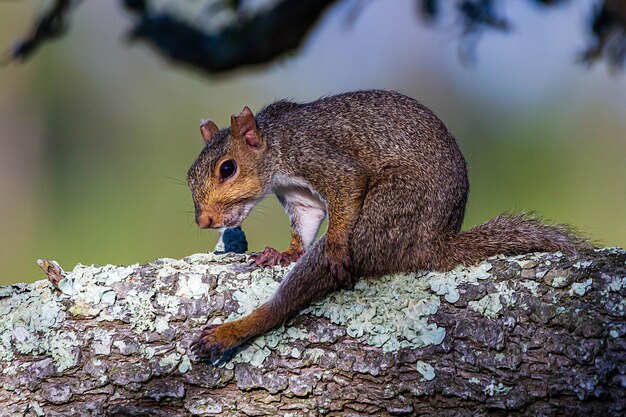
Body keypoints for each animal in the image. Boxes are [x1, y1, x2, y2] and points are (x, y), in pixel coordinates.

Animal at [184, 89, 584, 360]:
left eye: (227, 168)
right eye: (190, 174)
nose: (204, 220)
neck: (276, 144)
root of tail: (432, 243)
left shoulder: (320, 157)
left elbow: (348, 187)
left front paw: (334, 244)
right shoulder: (300, 197)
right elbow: (307, 222)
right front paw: (285, 252)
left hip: (387, 214)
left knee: (292, 297)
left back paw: (232, 332)